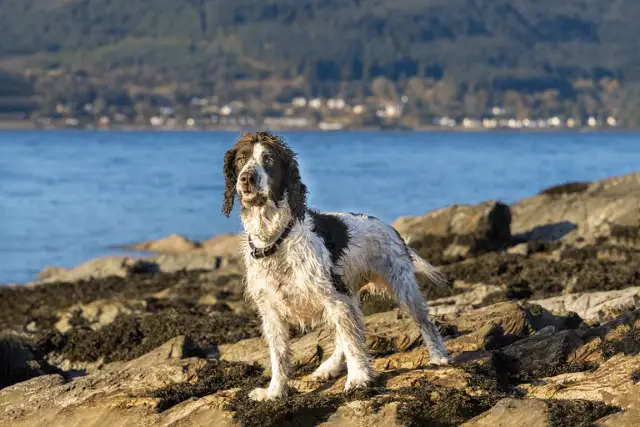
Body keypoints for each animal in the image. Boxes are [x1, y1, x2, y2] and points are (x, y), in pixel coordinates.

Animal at [222, 132, 452, 402]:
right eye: (241, 159)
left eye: (268, 159)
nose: (247, 178)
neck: (277, 238)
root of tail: (389, 227)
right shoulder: (272, 310)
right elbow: (279, 355)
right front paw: (274, 392)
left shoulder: (334, 296)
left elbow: (353, 343)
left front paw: (358, 379)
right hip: (350, 295)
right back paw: (328, 368)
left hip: (401, 287)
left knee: (425, 322)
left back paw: (438, 357)